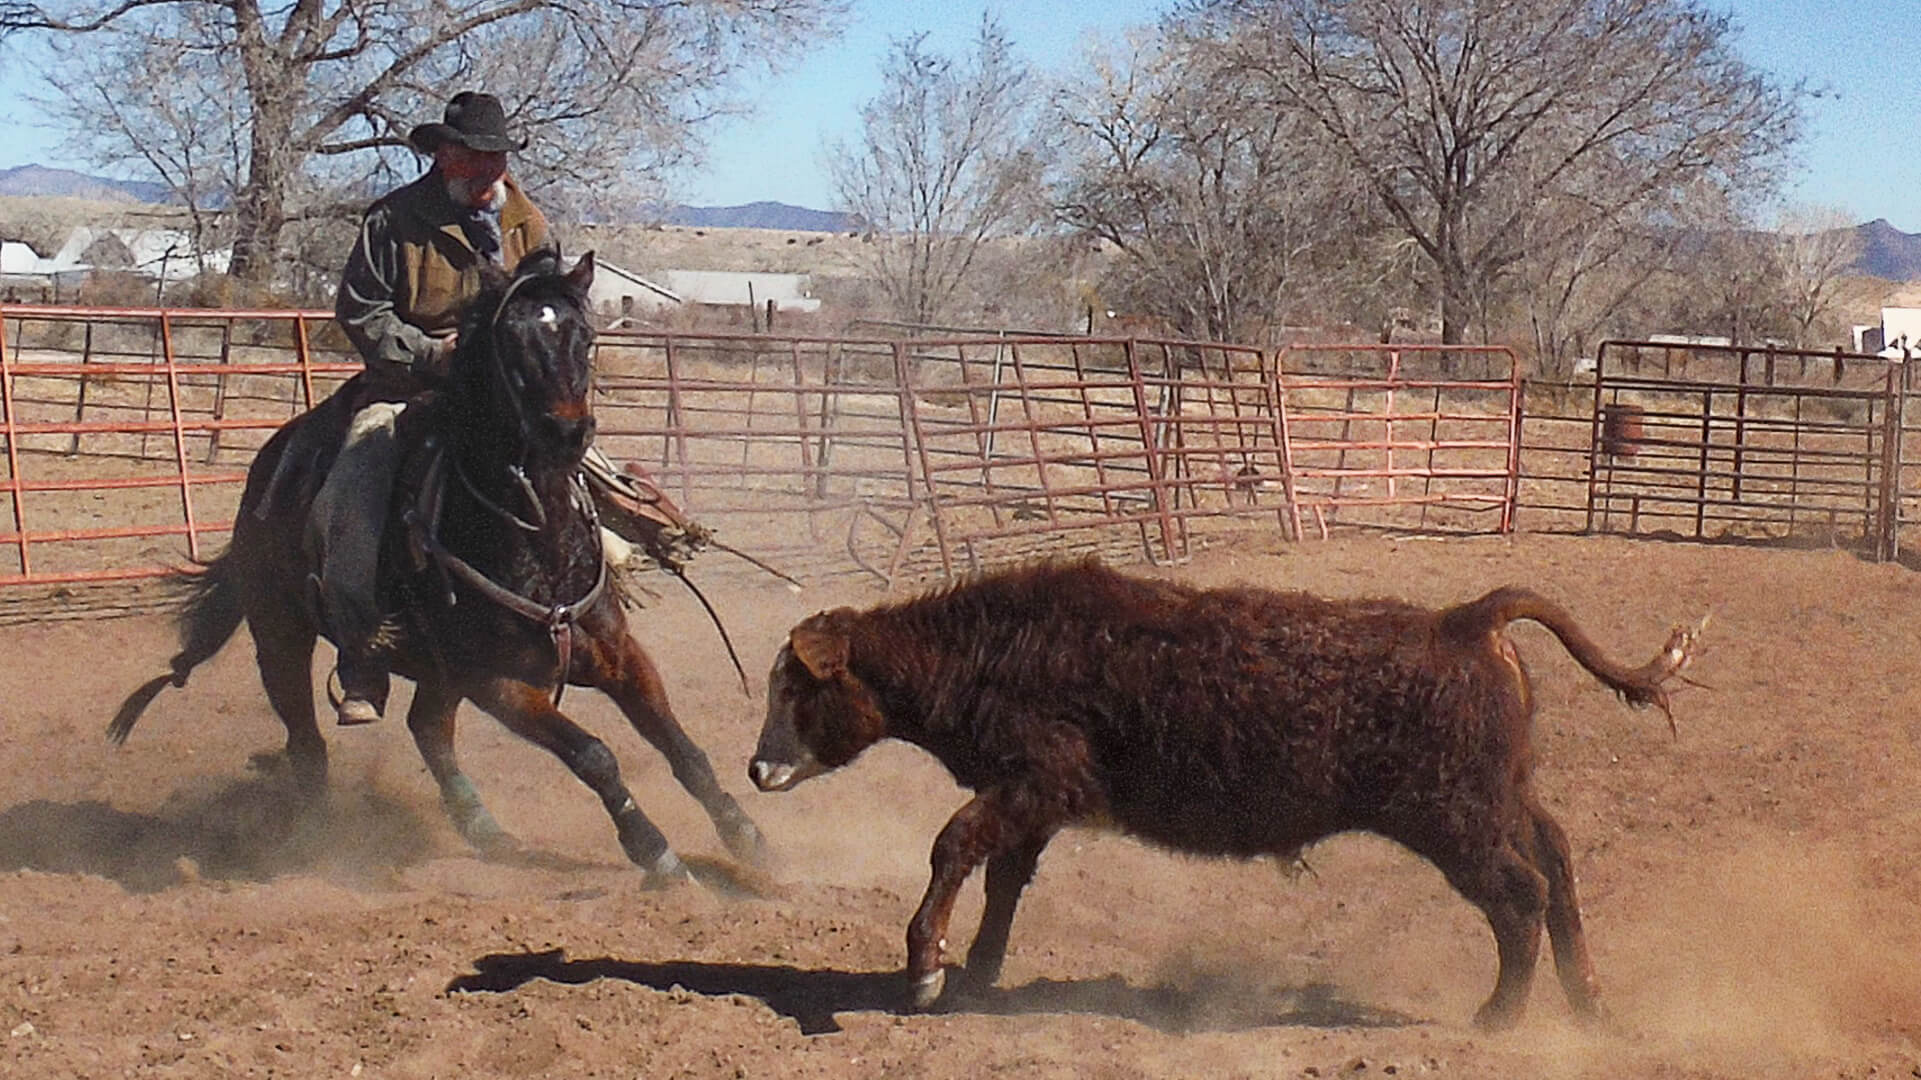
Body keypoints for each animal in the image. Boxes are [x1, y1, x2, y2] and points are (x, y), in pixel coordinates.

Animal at [110, 251, 766, 884]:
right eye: (511, 341)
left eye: (585, 336)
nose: (567, 430)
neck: (539, 545)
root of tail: (267, 473)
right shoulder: (498, 683)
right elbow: (594, 755)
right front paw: (656, 852)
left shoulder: (618, 656)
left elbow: (683, 750)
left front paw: (748, 838)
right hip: (281, 635)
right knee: (307, 742)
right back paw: (315, 835)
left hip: (435, 668)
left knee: (427, 728)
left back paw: (484, 829)